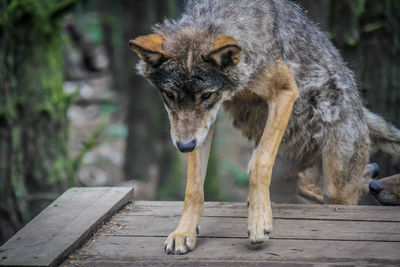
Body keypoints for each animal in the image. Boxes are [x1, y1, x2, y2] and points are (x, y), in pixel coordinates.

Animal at [129, 0, 400, 255]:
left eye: (206, 96)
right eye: (169, 96)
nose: (185, 146)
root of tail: (361, 111)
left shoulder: (285, 91)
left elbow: (261, 164)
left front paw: (258, 222)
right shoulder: (203, 127)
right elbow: (193, 186)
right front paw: (184, 232)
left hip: (335, 187)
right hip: (286, 185)